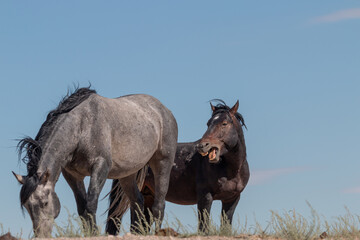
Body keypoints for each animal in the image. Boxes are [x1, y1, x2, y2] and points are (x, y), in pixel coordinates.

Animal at [12, 87, 177, 237]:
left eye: (45, 203)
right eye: (27, 206)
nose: (41, 235)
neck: (82, 126)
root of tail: (164, 110)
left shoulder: (100, 167)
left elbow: (91, 204)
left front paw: (94, 233)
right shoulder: (73, 175)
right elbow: (82, 208)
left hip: (162, 164)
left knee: (158, 206)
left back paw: (158, 233)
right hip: (127, 175)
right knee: (137, 201)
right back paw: (136, 233)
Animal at [105, 100, 249, 235]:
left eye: (224, 123)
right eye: (208, 124)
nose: (202, 146)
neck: (230, 171)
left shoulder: (231, 199)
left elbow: (226, 225)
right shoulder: (205, 197)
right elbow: (203, 227)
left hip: (148, 196)